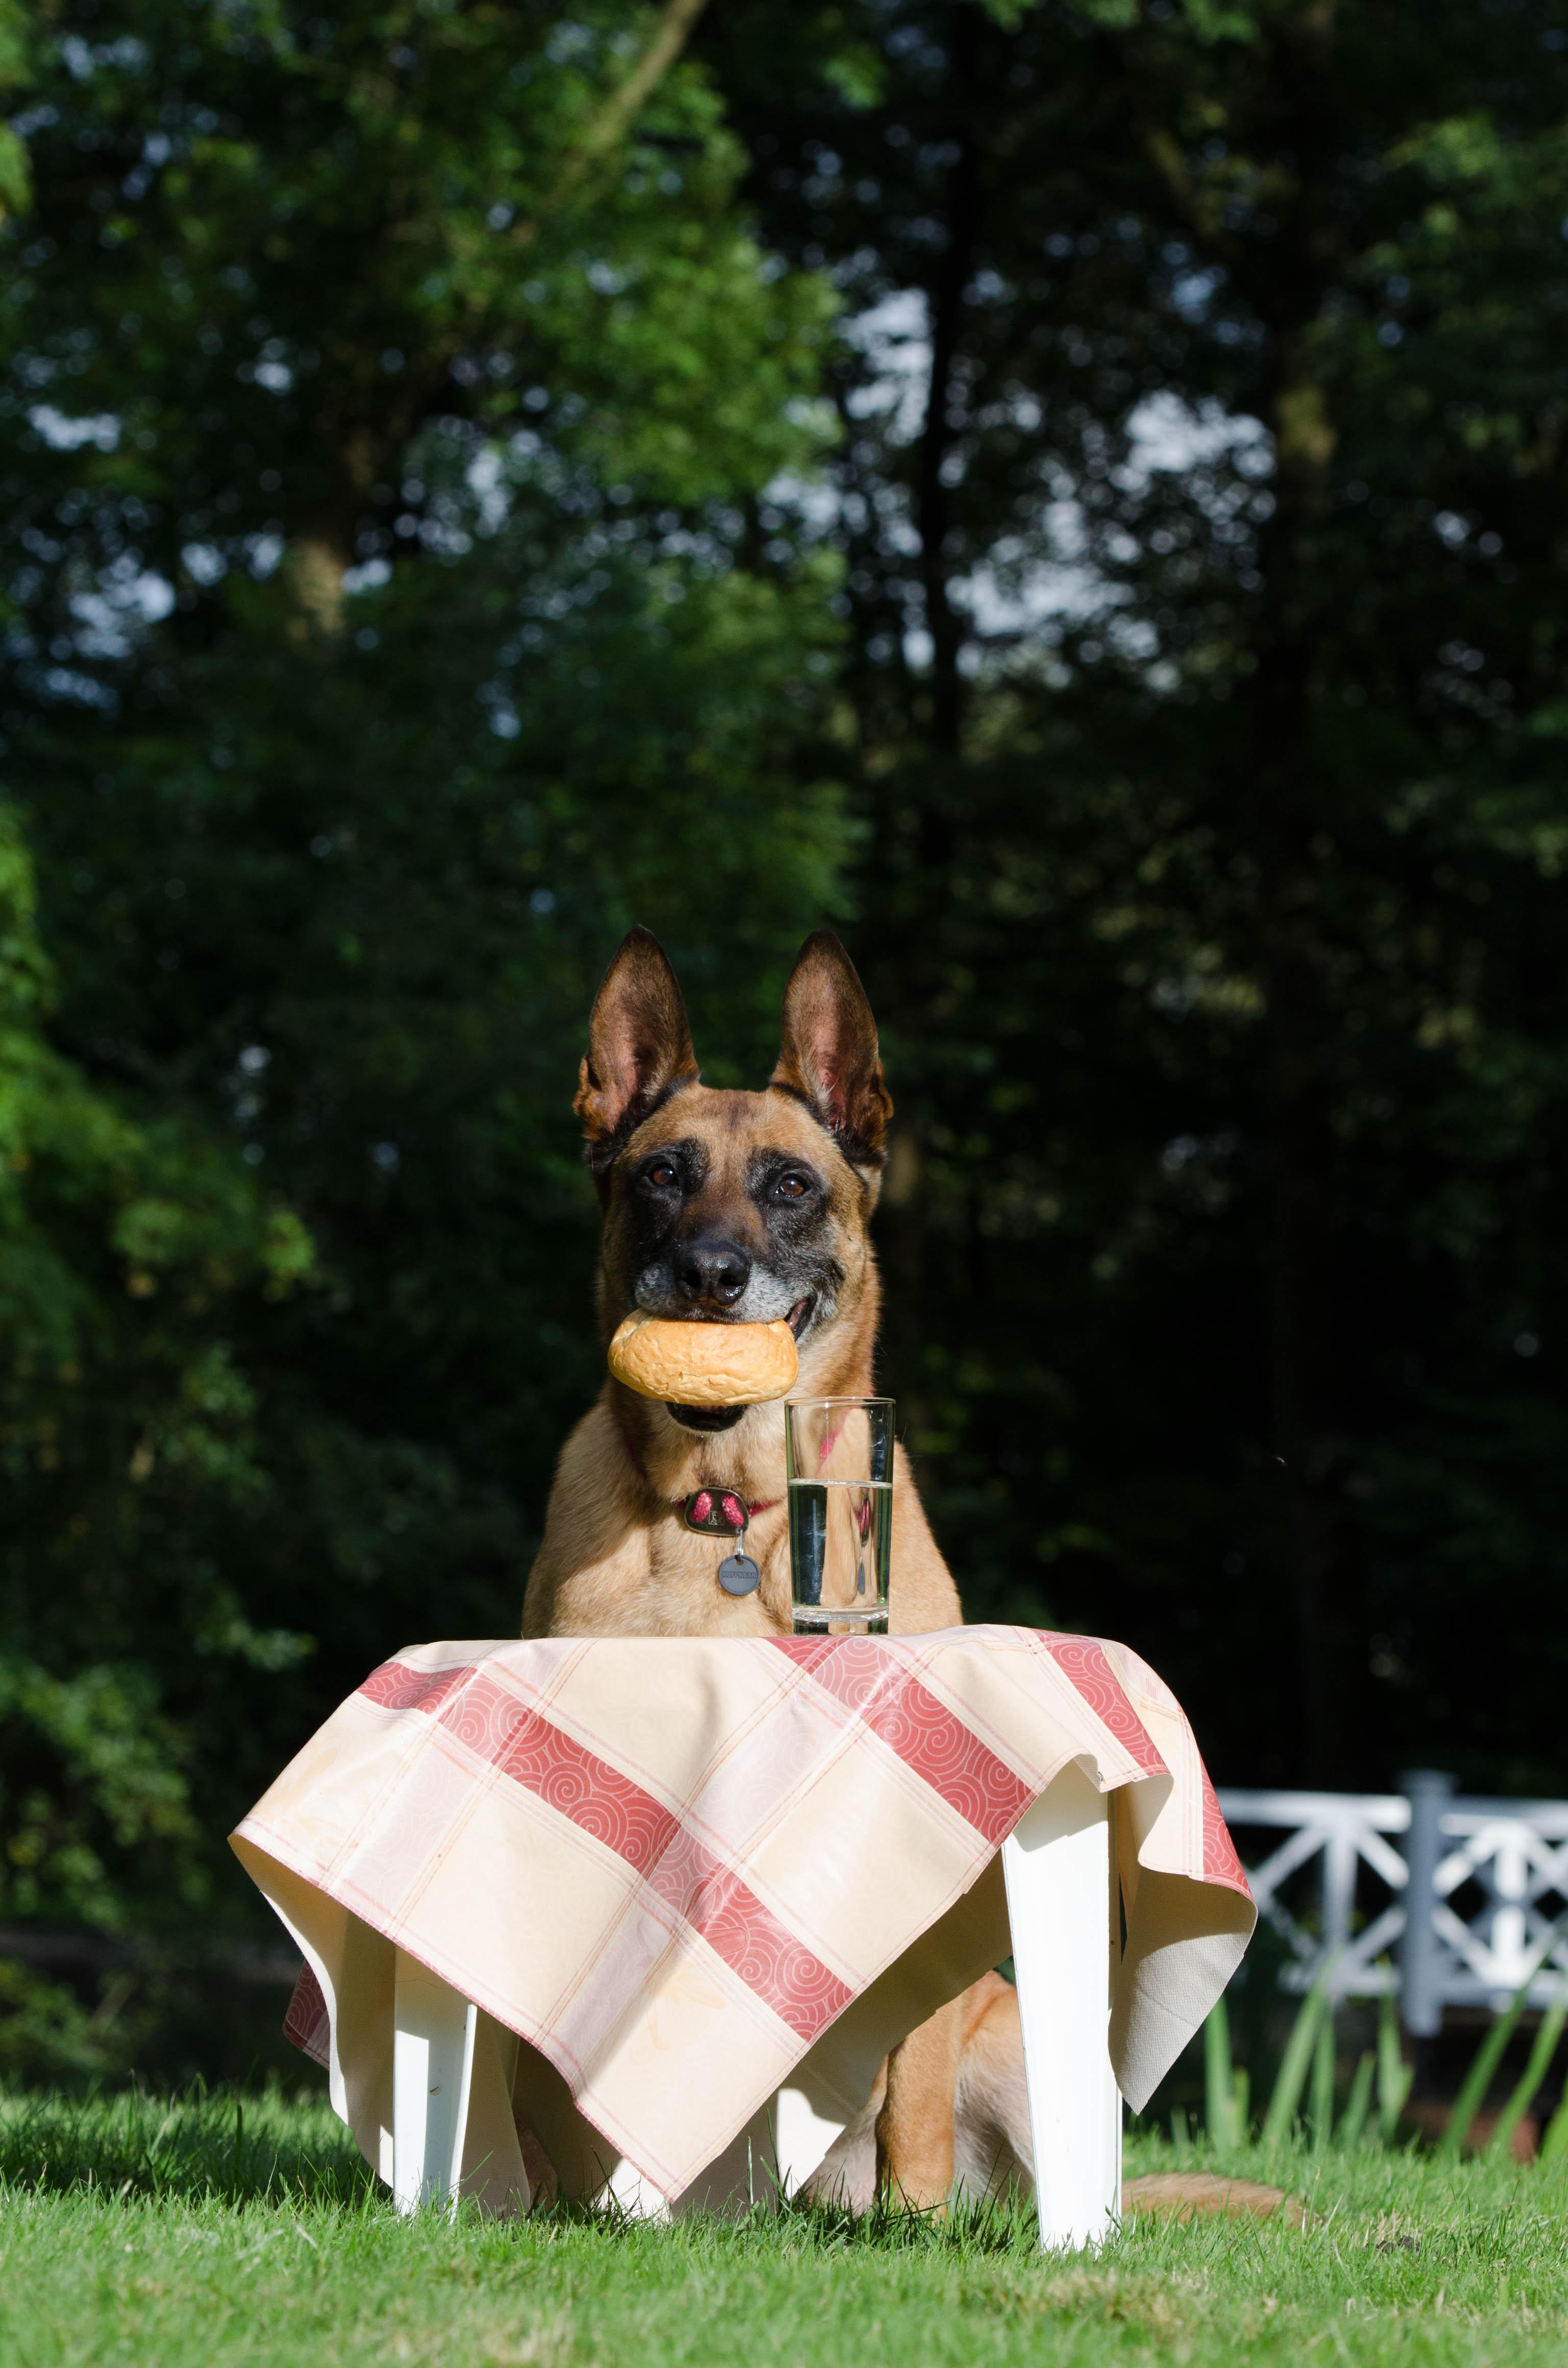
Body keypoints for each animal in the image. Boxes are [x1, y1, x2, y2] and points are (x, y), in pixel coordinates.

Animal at [526, 919, 1033, 2197]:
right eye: (663, 1174)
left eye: (792, 1186)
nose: (710, 1275)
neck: (727, 1513)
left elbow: (914, 2115)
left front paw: (917, 2220)